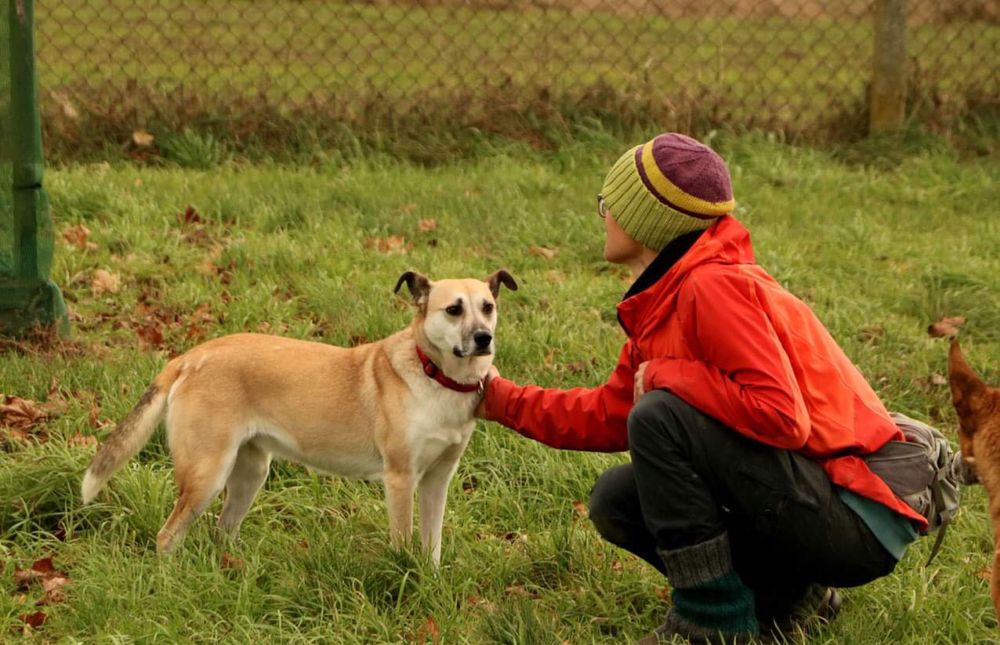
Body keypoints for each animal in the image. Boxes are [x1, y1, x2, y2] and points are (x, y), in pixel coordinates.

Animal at [80, 270, 516, 560]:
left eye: (488, 308)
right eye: (454, 310)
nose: (484, 339)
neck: (435, 376)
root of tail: (191, 356)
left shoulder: (437, 480)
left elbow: (432, 546)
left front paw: (429, 579)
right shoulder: (400, 478)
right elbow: (403, 542)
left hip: (250, 474)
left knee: (222, 532)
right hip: (206, 474)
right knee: (167, 536)